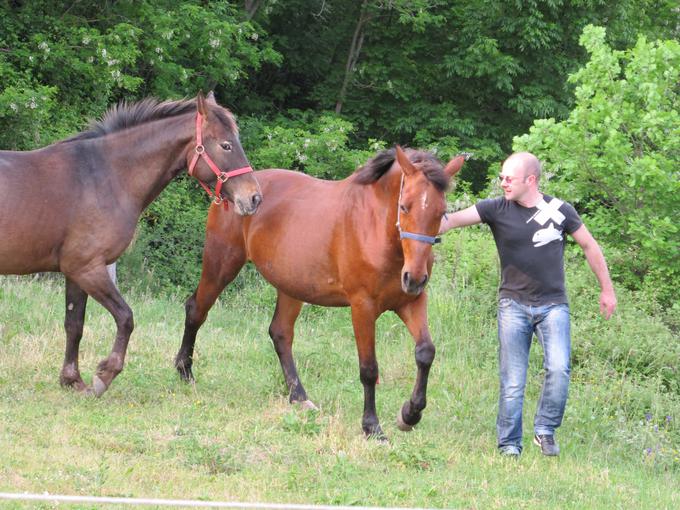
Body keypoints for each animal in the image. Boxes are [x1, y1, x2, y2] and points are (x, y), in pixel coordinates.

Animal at [0, 91, 262, 396]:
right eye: (226, 145)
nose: (254, 198)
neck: (106, 176)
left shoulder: (75, 272)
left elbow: (74, 324)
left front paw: (72, 380)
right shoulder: (87, 268)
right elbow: (125, 317)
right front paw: (105, 375)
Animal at [174, 145, 468, 436]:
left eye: (441, 212)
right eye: (404, 207)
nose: (414, 278)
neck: (374, 228)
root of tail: (236, 194)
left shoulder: (411, 301)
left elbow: (425, 352)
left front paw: (410, 414)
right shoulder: (363, 307)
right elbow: (369, 368)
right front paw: (372, 426)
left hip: (290, 287)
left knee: (281, 333)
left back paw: (300, 398)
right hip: (221, 265)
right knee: (196, 310)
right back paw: (184, 371)